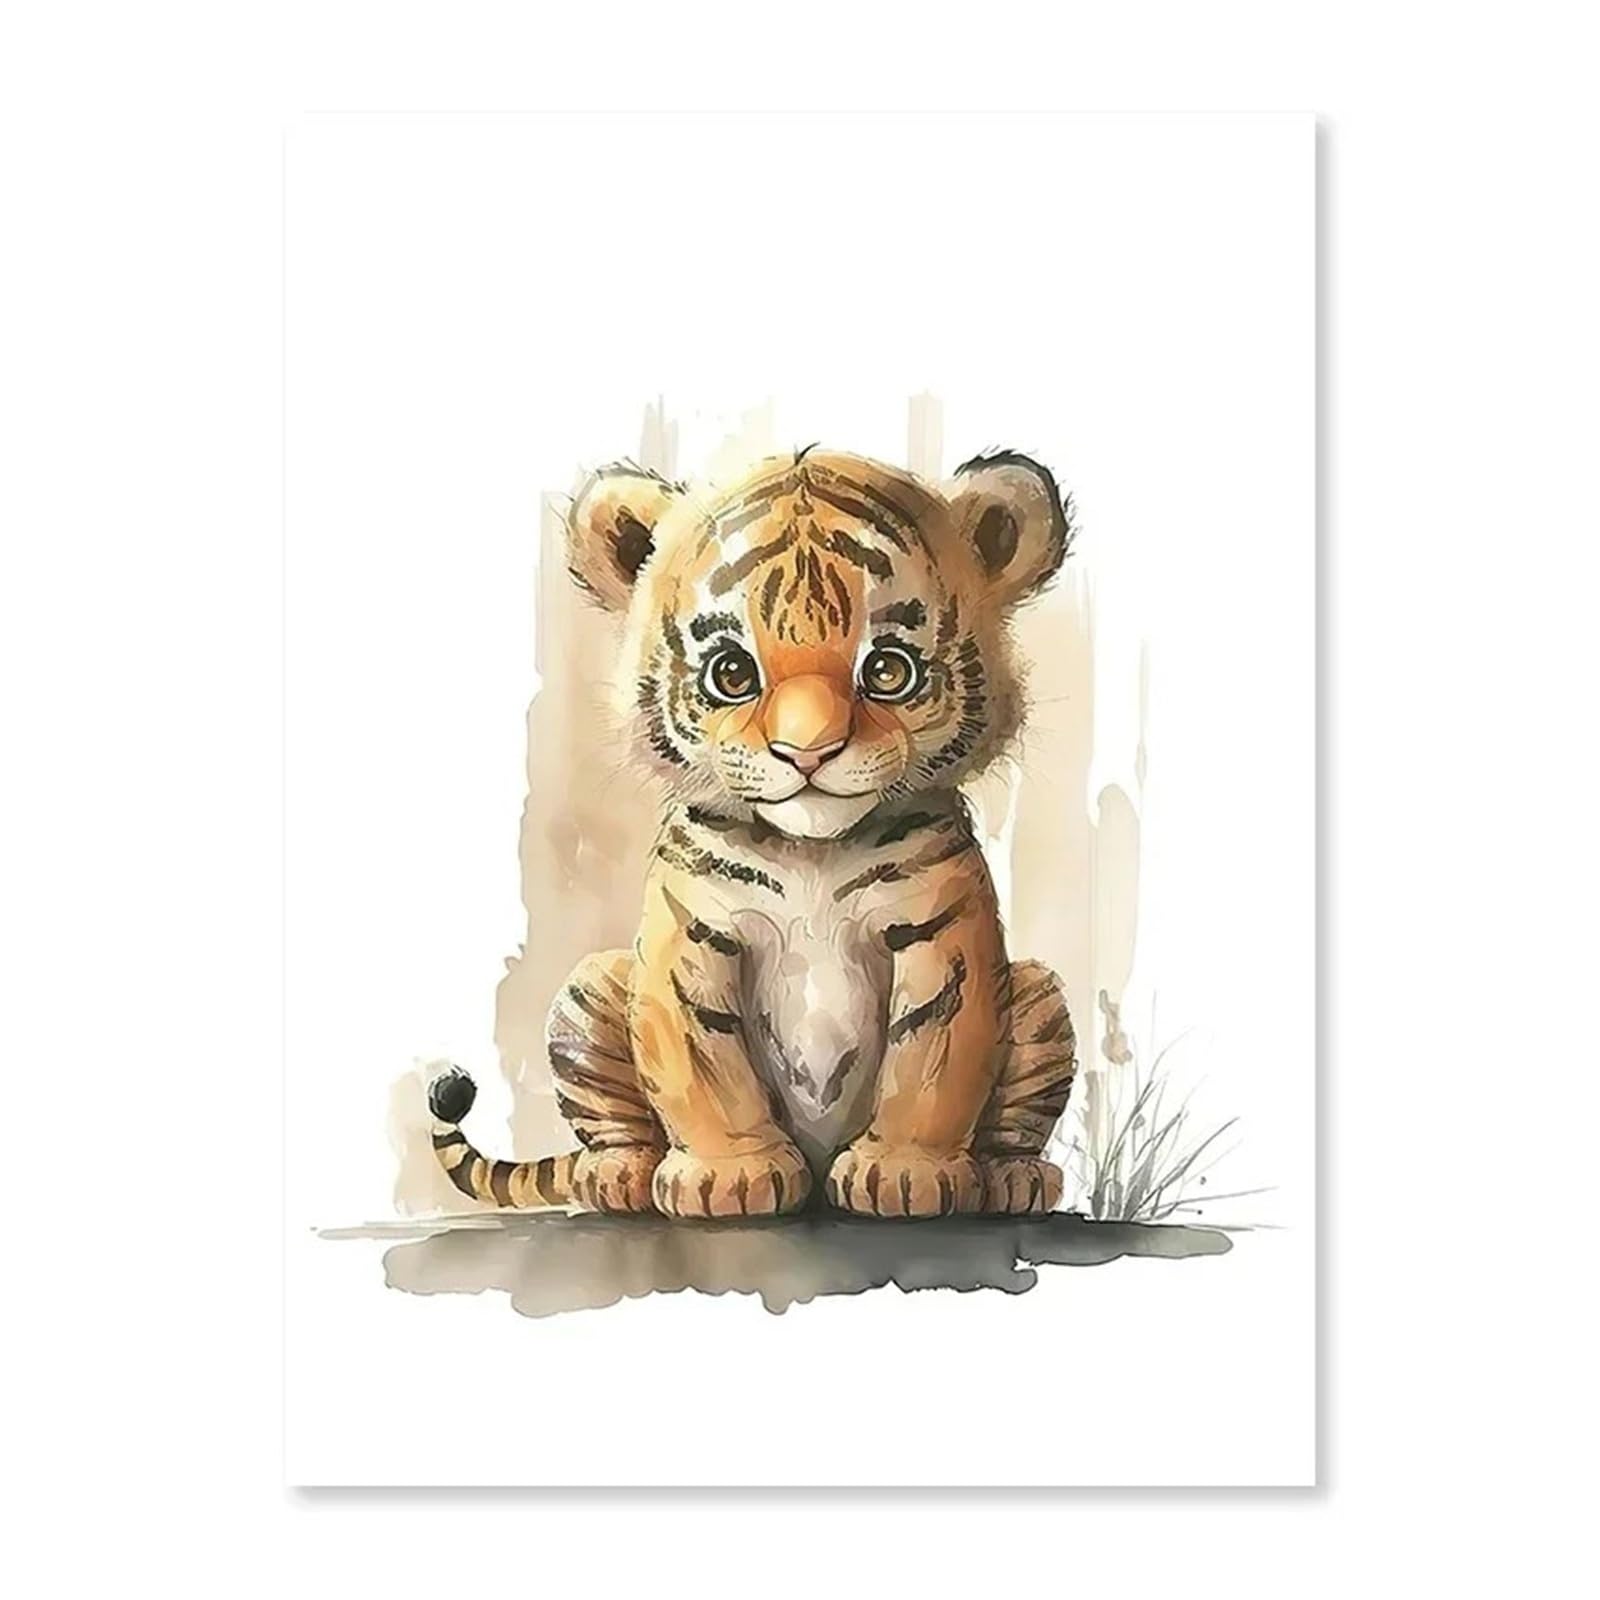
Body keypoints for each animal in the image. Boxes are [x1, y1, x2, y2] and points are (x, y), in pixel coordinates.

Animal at [428, 445, 1079, 1219]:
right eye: (732, 673)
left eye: (888, 669)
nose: (808, 751)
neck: (813, 851)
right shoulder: (688, 941)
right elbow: (703, 1070)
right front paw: (729, 1178)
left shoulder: (944, 935)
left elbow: (934, 1062)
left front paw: (905, 1173)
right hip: (589, 988)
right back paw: (618, 1174)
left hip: (1039, 993)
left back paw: (1012, 1179)